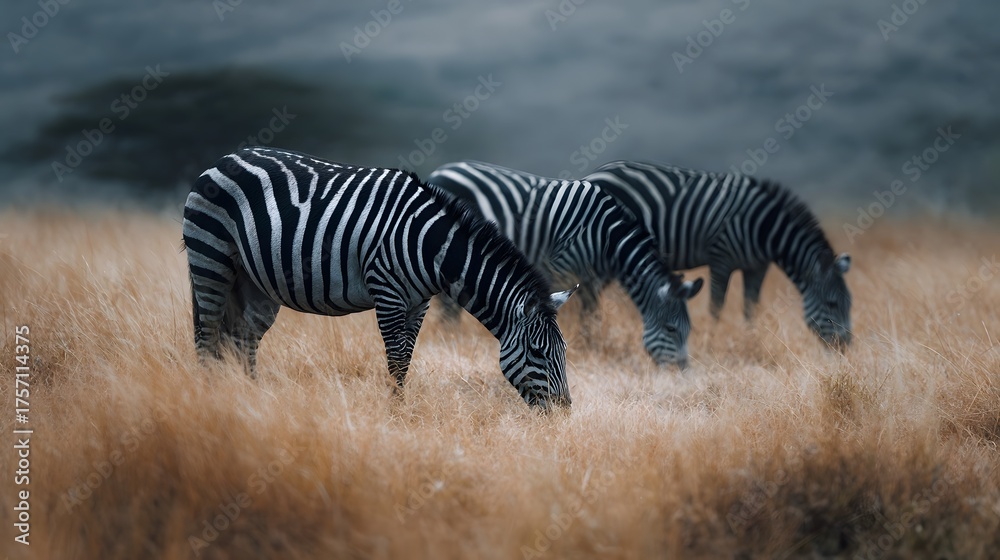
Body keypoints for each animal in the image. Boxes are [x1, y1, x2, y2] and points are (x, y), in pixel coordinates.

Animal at [182, 146, 577, 408]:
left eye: (564, 352)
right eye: (538, 352)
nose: (563, 411)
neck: (431, 246)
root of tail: (225, 158)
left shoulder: (419, 303)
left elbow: (407, 357)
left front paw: (400, 410)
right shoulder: (387, 292)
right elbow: (396, 358)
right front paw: (396, 414)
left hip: (253, 282)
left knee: (241, 339)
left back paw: (250, 398)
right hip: (211, 258)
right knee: (206, 337)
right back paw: (209, 398)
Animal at [428, 161, 703, 368]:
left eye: (689, 330)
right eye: (670, 329)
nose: (681, 372)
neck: (604, 237)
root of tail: (440, 171)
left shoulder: (591, 277)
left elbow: (589, 314)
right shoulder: (563, 267)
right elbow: (583, 313)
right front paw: (586, 348)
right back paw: (451, 336)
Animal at [584, 160, 852, 349]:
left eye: (850, 304)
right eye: (832, 304)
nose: (845, 347)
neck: (763, 227)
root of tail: (593, 174)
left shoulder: (757, 266)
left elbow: (750, 307)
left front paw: (751, 342)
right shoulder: (721, 259)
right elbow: (716, 306)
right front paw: (711, 344)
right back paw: (591, 338)